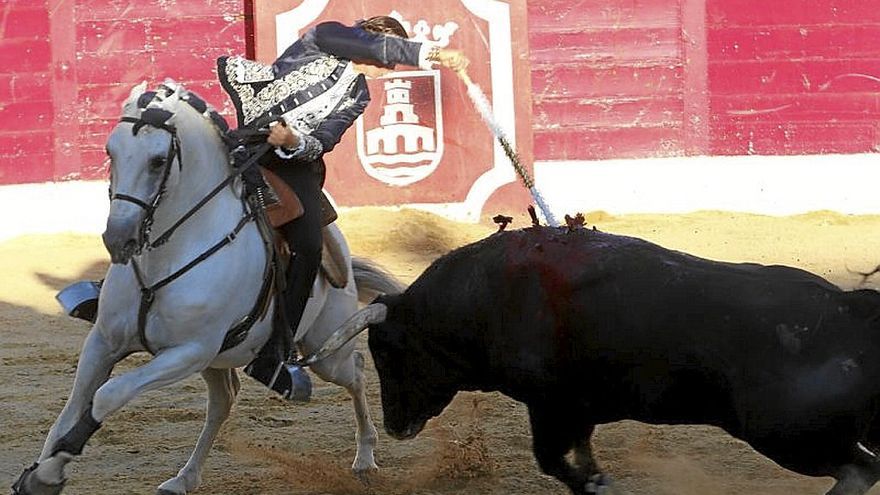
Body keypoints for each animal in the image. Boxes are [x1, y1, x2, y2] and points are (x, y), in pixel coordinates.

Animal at [13, 82, 402, 495]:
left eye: (157, 161)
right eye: (109, 151)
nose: (118, 239)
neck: (168, 255)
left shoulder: (188, 351)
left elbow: (107, 395)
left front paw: (48, 473)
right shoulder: (105, 340)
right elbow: (71, 409)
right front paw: (38, 472)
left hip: (324, 350)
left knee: (355, 370)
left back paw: (365, 456)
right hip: (221, 359)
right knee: (223, 402)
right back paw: (184, 477)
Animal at [320, 228, 880, 495]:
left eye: (387, 351)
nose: (396, 427)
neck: (486, 296)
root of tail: (849, 310)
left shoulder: (550, 406)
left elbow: (552, 460)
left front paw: (597, 486)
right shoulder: (578, 410)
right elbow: (581, 455)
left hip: (786, 437)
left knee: (859, 471)